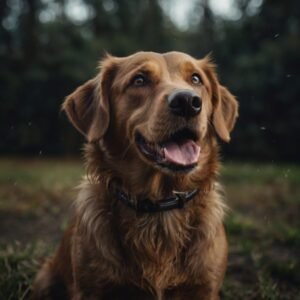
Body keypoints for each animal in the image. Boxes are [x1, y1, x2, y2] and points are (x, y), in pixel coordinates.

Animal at [32, 52, 239, 300]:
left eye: (196, 79)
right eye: (139, 80)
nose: (188, 102)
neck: (159, 206)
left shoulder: (205, 289)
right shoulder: (91, 289)